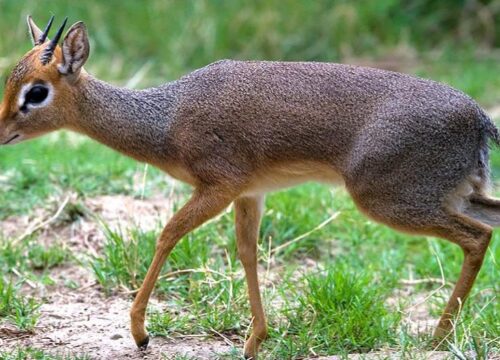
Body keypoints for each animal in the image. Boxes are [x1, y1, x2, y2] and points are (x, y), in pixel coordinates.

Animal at [1, 16, 498, 358]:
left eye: (36, 91)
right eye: (11, 79)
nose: (2, 131)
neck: (166, 119)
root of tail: (479, 117)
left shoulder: (219, 187)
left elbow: (167, 233)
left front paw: (140, 332)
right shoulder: (249, 194)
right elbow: (247, 253)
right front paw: (256, 339)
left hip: (390, 200)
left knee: (477, 236)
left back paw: (437, 336)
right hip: (452, 195)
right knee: (488, 224)